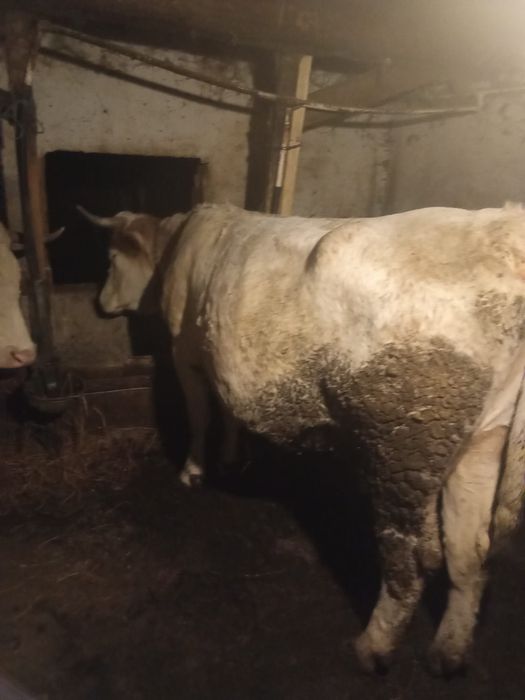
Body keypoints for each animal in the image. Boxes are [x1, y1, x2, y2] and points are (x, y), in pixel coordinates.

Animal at [79, 201, 525, 676]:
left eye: (111, 259)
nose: (99, 303)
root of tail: (503, 228)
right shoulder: (222, 359)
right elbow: (229, 408)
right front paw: (231, 456)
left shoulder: (186, 353)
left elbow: (200, 417)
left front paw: (193, 471)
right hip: (482, 439)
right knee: (467, 553)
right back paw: (449, 652)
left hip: (405, 442)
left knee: (410, 558)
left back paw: (373, 647)